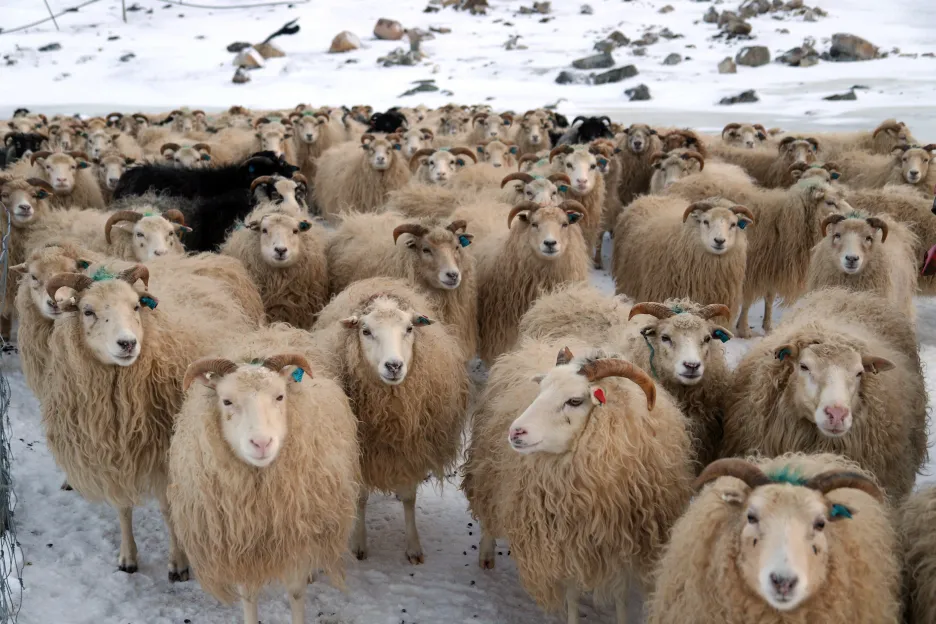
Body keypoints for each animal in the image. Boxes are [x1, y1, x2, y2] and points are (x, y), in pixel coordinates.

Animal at [41, 263, 258, 577]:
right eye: (87, 311)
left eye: (135, 306)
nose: (127, 343)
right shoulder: (112, 455)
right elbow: (122, 508)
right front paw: (128, 557)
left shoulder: (165, 455)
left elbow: (168, 509)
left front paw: (178, 563)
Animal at [170, 329, 359, 624]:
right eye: (226, 401)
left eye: (280, 397)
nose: (261, 443)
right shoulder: (241, 543)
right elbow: (248, 597)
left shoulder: (295, 537)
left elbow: (295, 592)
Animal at [311, 278, 469, 564]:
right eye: (365, 331)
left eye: (409, 329)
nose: (394, 366)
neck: (389, 411)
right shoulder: (362, 451)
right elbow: (361, 497)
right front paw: (359, 543)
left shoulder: (411, 448)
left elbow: (409, 498)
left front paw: (413, 547)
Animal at [461, 342, 694, 621]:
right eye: (540, 390)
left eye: (574, 401)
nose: (516, 432)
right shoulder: (565, 541)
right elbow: (572, 597)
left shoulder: (624, 544)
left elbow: (621, 597)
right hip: (486, 470)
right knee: (487, 513)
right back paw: (486, 556)